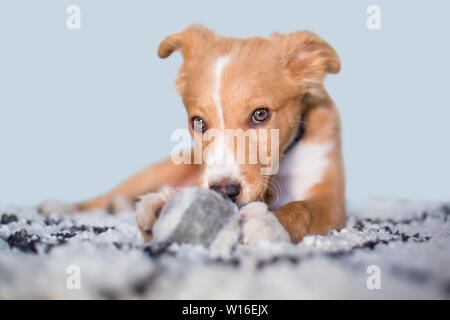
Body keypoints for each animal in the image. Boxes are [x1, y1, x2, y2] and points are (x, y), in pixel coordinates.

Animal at [39, 25, 348, 245]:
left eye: (261, 114)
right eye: (199, 122)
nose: (224, 192)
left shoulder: (332, 202)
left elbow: (303, 209)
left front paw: (269, 223)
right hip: (164, 168)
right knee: (110, 193)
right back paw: (64, 207)